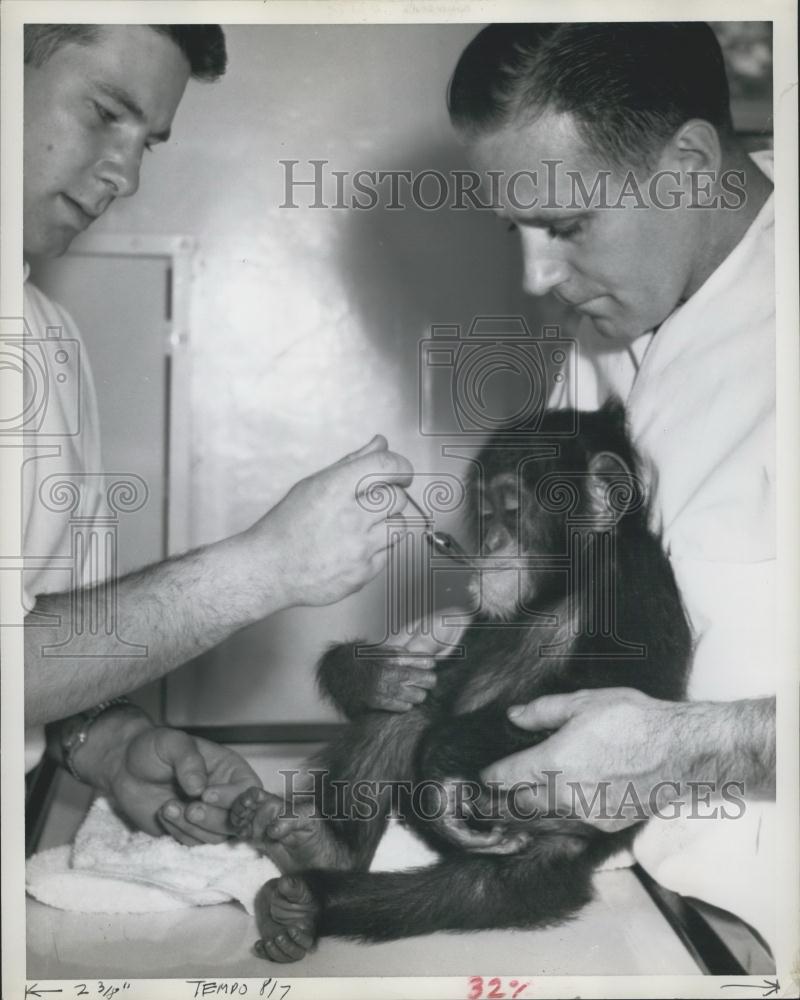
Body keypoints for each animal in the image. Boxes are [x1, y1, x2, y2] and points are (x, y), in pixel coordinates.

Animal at [230, 398, 688, 960]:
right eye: (486, 513)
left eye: (512, 509)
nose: (490, 540)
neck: (568, 582)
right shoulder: (482, 619)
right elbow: (436, 675)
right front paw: (368, 675)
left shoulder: (634, 588)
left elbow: (608, 707)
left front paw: (441, 783)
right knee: (406, 715)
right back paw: (317, 851)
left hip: (558, 847)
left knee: (479, 891)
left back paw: (308, 904)